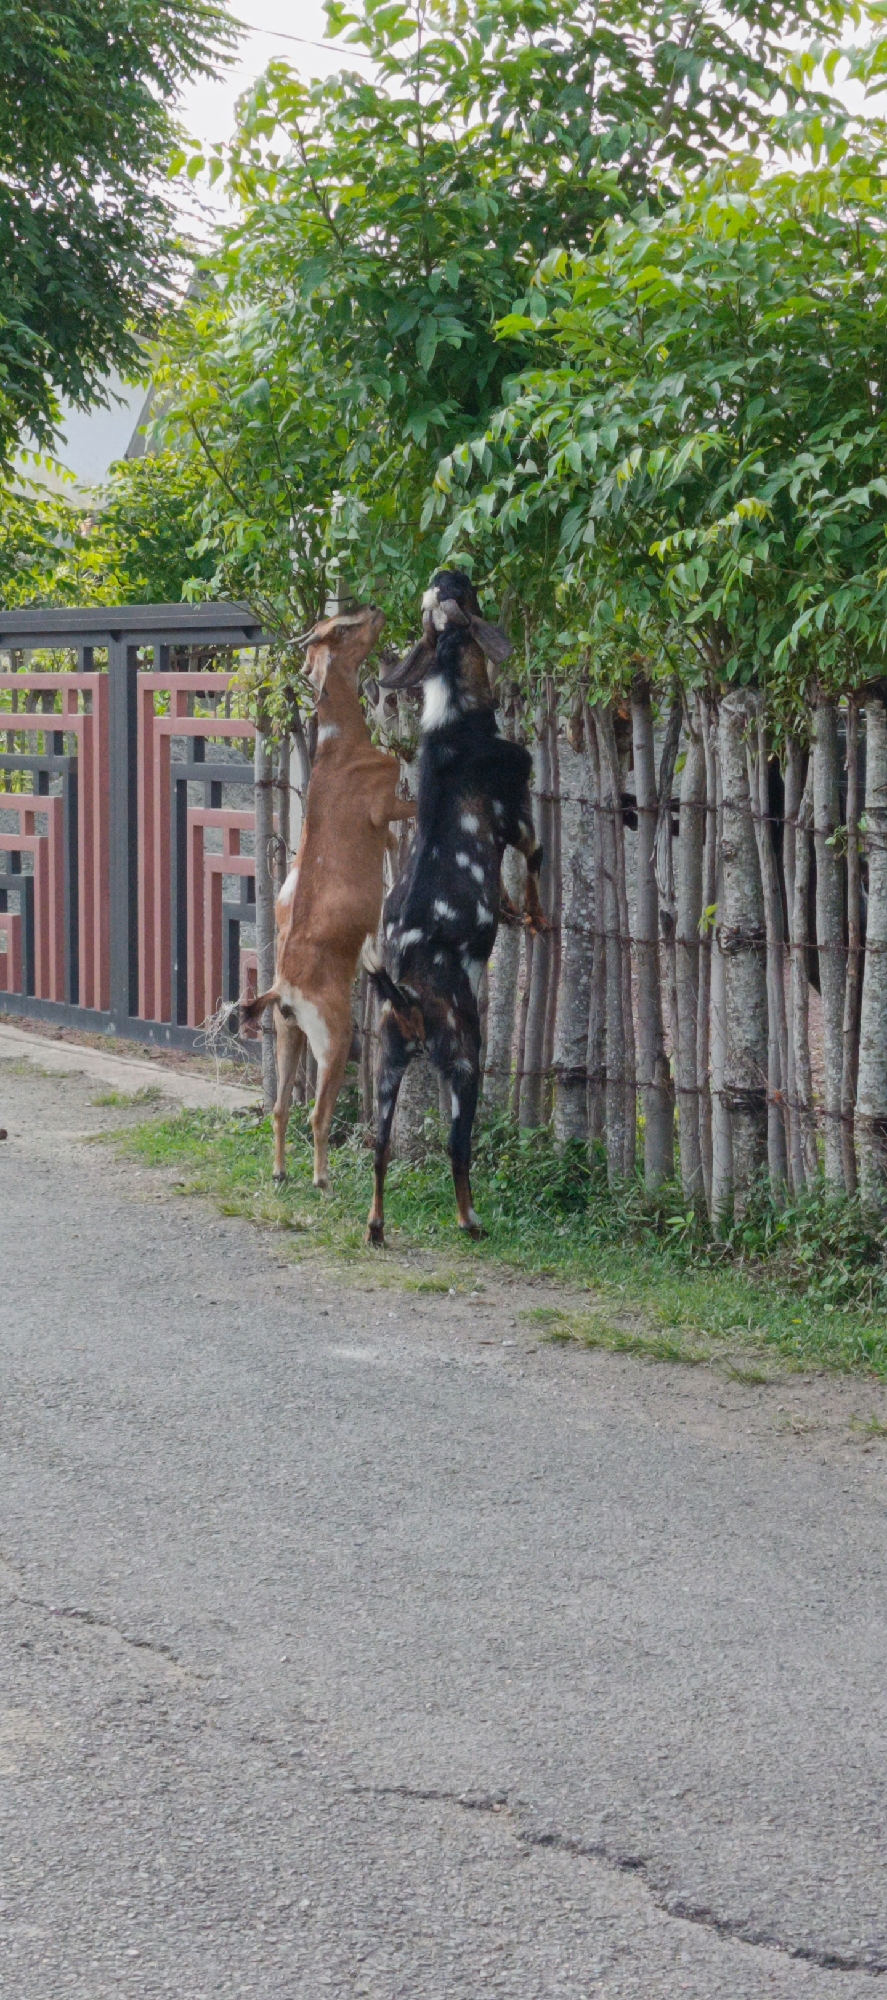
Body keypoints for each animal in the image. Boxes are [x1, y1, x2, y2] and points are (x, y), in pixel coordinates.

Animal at [240, 602, 416, 1188]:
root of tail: (286, 991)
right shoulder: (385, 804)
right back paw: (321, 1179)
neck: (341, 748)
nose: (377, 611)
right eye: (340, 629)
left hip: (288, 1035)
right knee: (317, 1114)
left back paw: (279, 1172)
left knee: (279, 1108)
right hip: (333, 1040)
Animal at [364, 571, 546, 1246]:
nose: (452, 572)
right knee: (456, 1146)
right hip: (466, 1058)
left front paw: (517, 913)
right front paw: (535, 917)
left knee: (381, 1148)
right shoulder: (516, 809)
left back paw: (375, 1227)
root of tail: (406, 998)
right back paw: (470, 1221)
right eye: (464, 594)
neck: (456, 721)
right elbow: (536, 860)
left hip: (387, 1066)